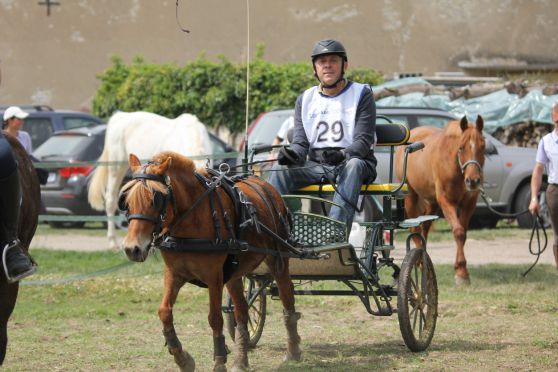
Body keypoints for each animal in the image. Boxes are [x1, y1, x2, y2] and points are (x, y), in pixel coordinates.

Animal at [118, 152, 302, 372]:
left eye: (155, 200)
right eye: (127, 200)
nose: (132, 249)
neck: (191, 222)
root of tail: (266, 186)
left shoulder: (214, 277)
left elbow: (215, 319)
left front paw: (219, 361)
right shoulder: (174, 273)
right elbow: (164, 312)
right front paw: (182, 358)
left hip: (277, 260)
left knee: (287, 296)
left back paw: (293, 350)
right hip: (234, 273)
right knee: (241, 311)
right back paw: (241, 360)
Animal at [398, 116, 486, 284]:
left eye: (483, 147)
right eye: (461, 148)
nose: (473, 181)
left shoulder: (468, 204)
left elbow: (463, 234)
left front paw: (462, 271)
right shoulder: (446, 202)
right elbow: (458, 232)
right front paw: (461, 274)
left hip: (432, 202)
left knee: (424, 226)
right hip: (410, 196)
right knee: (415, 228)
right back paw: (419, 260)